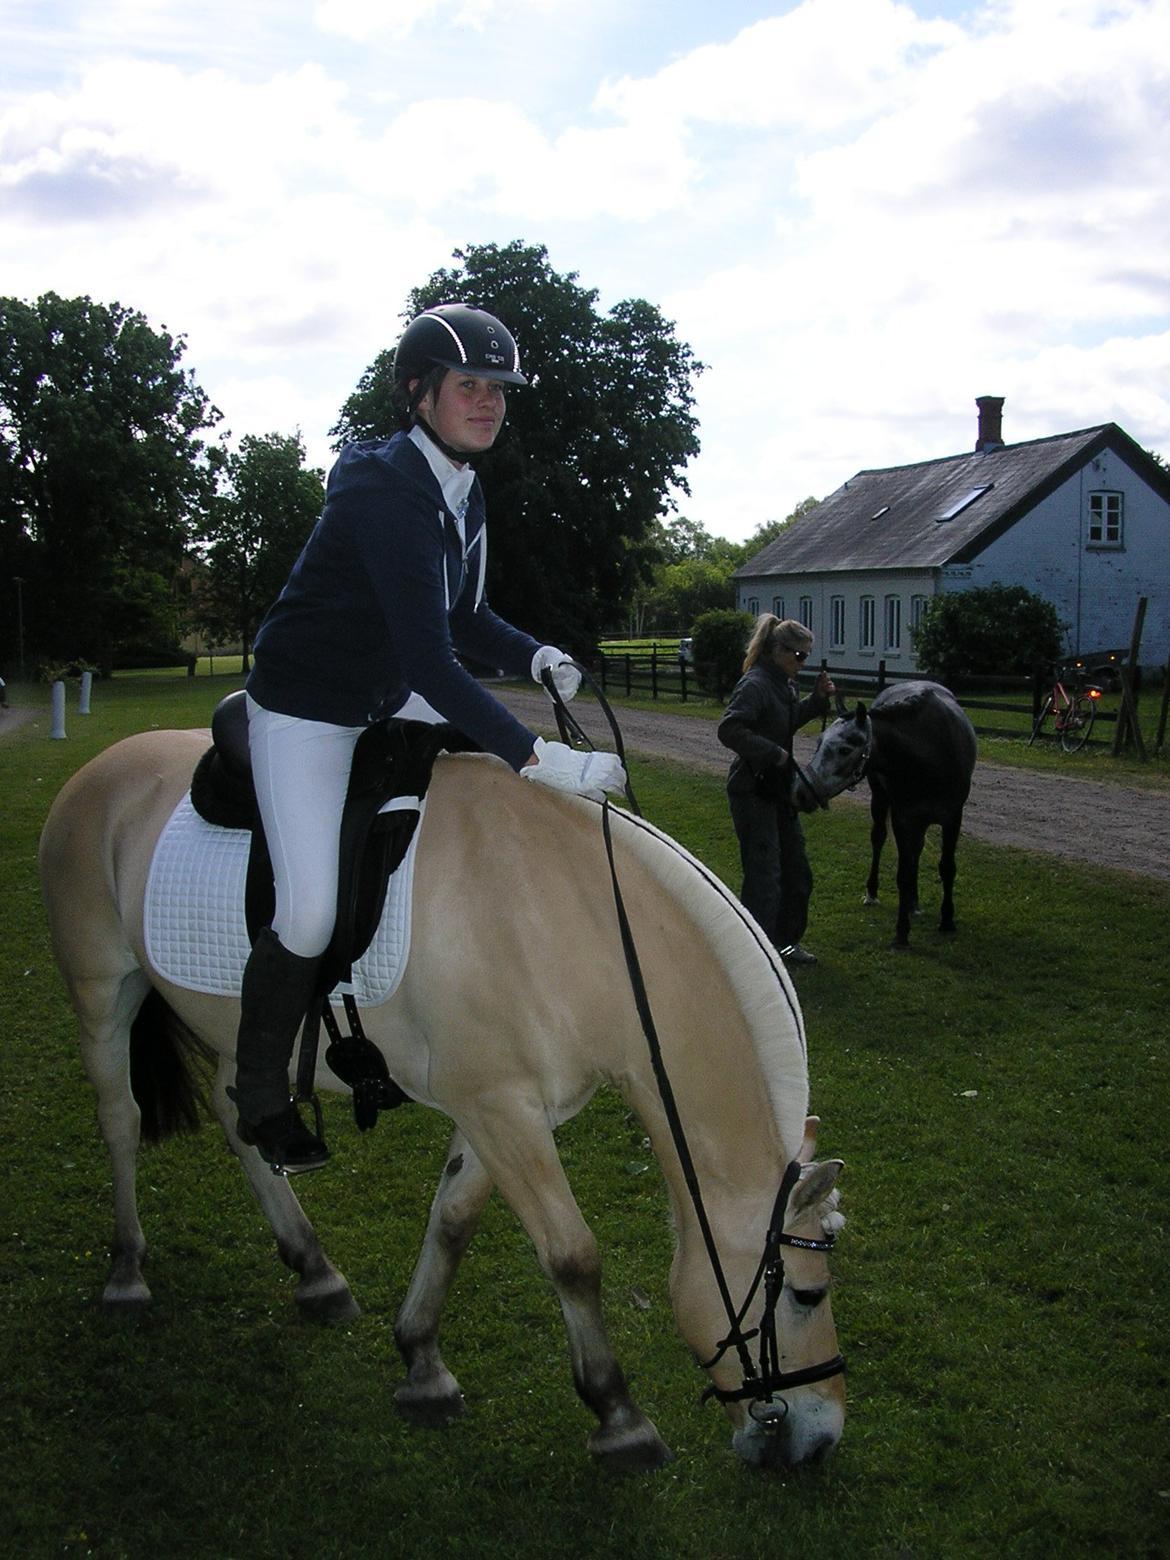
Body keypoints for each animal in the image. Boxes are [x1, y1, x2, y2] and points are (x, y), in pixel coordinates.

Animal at [38, 728, 846, 1472]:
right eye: (806, 1295)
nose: (821, 1439)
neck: (567, 921)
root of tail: (101, 768)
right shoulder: (501, 1111)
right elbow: (572, 1256)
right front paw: (618, 1414)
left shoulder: (501, 1112)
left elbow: (453, 1221)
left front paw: (421, 1360)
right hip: (102, 991)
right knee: (120, 1120)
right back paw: (127, 1273)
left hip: (241, 1037)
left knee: (243, 1123)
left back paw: (314, 1270)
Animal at [792, 680, 977, 948]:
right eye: (819, 743)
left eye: (844, 749)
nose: (801, 793)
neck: (929, 753)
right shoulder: (902, 819)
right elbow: (903, 874)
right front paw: (901, 933)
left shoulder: (953, 818)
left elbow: (947, 867)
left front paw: (947, 920)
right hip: (880, 802)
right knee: (879, 839)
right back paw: (875, 893)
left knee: (916, 852)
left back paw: (913, 903)